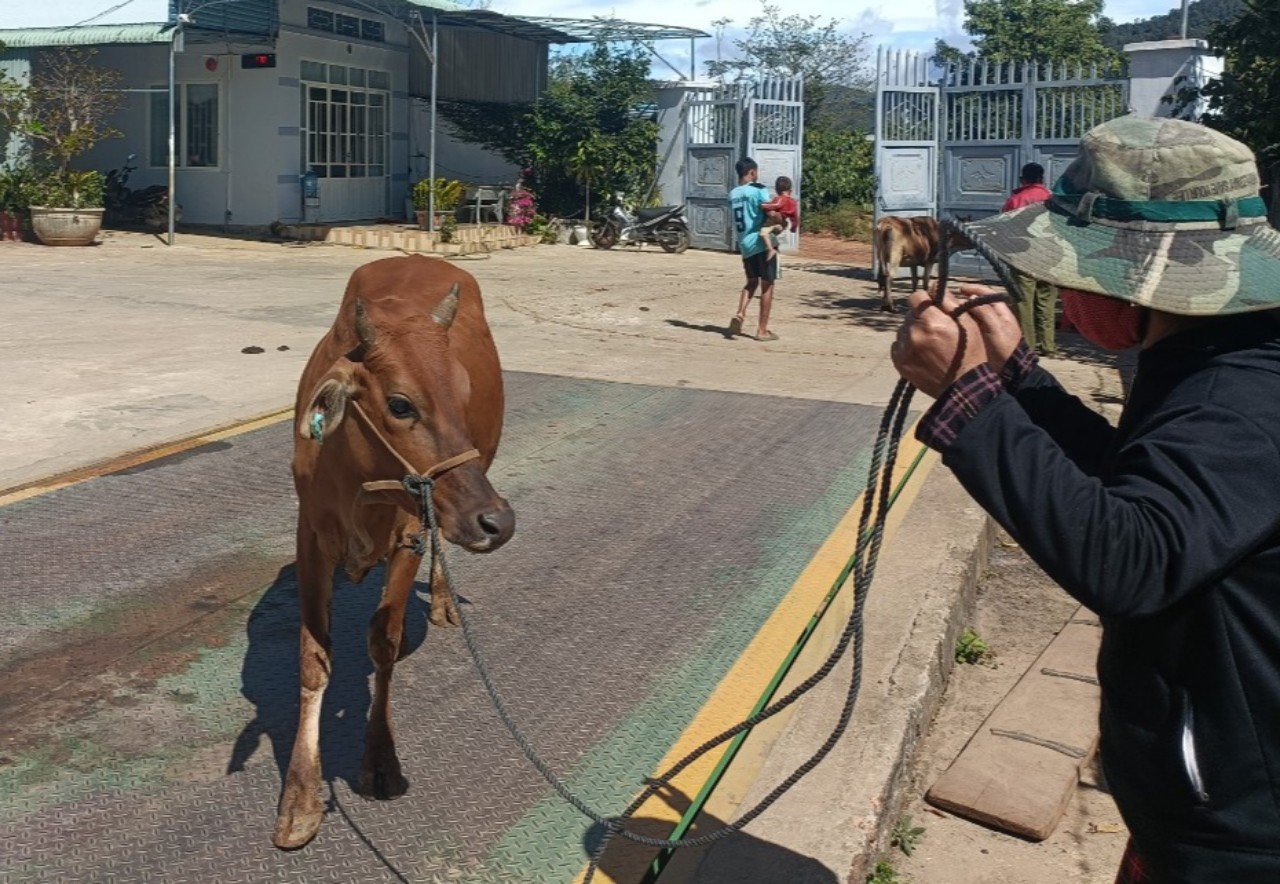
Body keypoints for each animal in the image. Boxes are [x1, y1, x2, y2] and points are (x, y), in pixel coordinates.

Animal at [275, 254, 514, 849]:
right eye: (401, 404)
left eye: (465, 393)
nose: (498, 521)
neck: (359, 483)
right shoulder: (310, 539)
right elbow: (314, 659)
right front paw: (300, 796)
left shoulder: (410, 531)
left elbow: (382, 643)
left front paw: (380, 759)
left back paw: (444, 600)